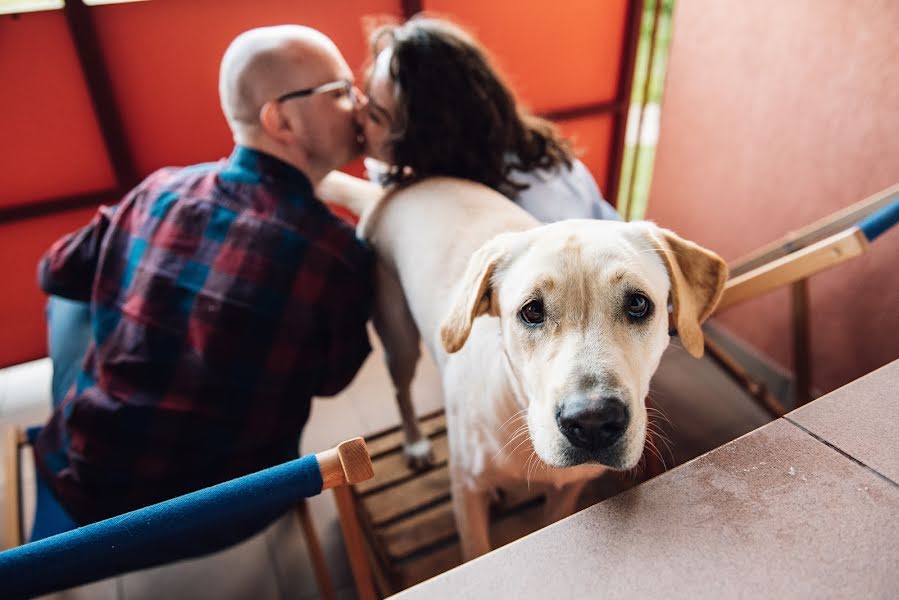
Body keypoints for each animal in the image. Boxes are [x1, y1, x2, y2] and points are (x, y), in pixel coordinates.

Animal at [320, 171, 728, 560]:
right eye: (532, 311)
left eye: (639, 304)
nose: (593, 422)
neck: (521, 411)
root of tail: (387, 193)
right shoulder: (466, 494)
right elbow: (475, 549)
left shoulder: (567, 491)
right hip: (398, 335)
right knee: (402, 391)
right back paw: (416, 444)